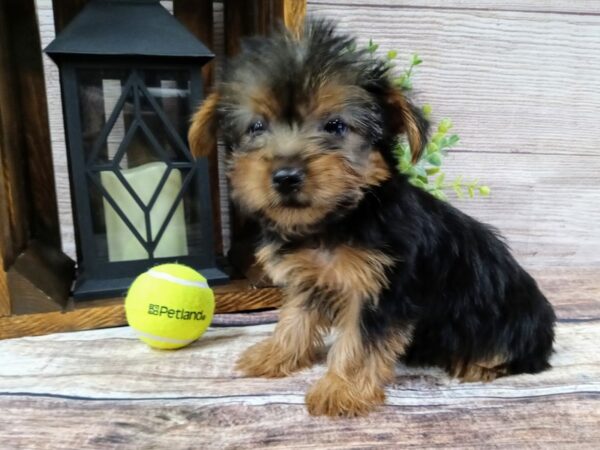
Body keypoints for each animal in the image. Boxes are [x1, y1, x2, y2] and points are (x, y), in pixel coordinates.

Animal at [189, 19, 556, 416]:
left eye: (335, 126)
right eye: (257, 127)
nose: (285, 176)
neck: (341, 217)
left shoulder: (380, 290)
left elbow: (359, 342)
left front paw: (341, 389)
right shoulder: (308, 279)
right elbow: (295, 318)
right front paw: (275, 354)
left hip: (510, 323)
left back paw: (477, 364)